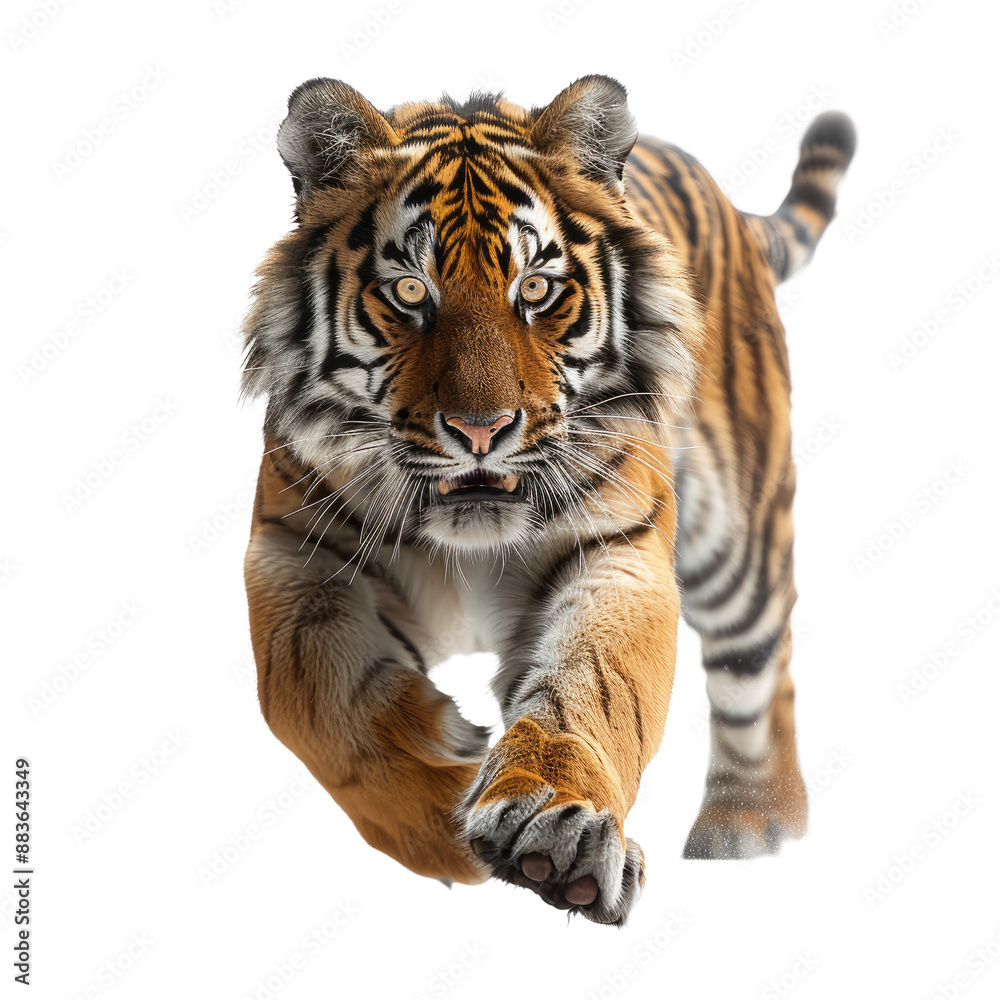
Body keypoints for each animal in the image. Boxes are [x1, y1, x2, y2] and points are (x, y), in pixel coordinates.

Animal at [241, 75, 855, 925]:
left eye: (535, 288)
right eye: (409, 292)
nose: (481, 429)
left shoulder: (618, 550)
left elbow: (594, 686)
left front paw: (555, 830)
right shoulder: (293, 554)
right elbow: (316, 706)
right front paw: (444, 804)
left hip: (740, 539)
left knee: (765, 666)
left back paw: (750, 823)